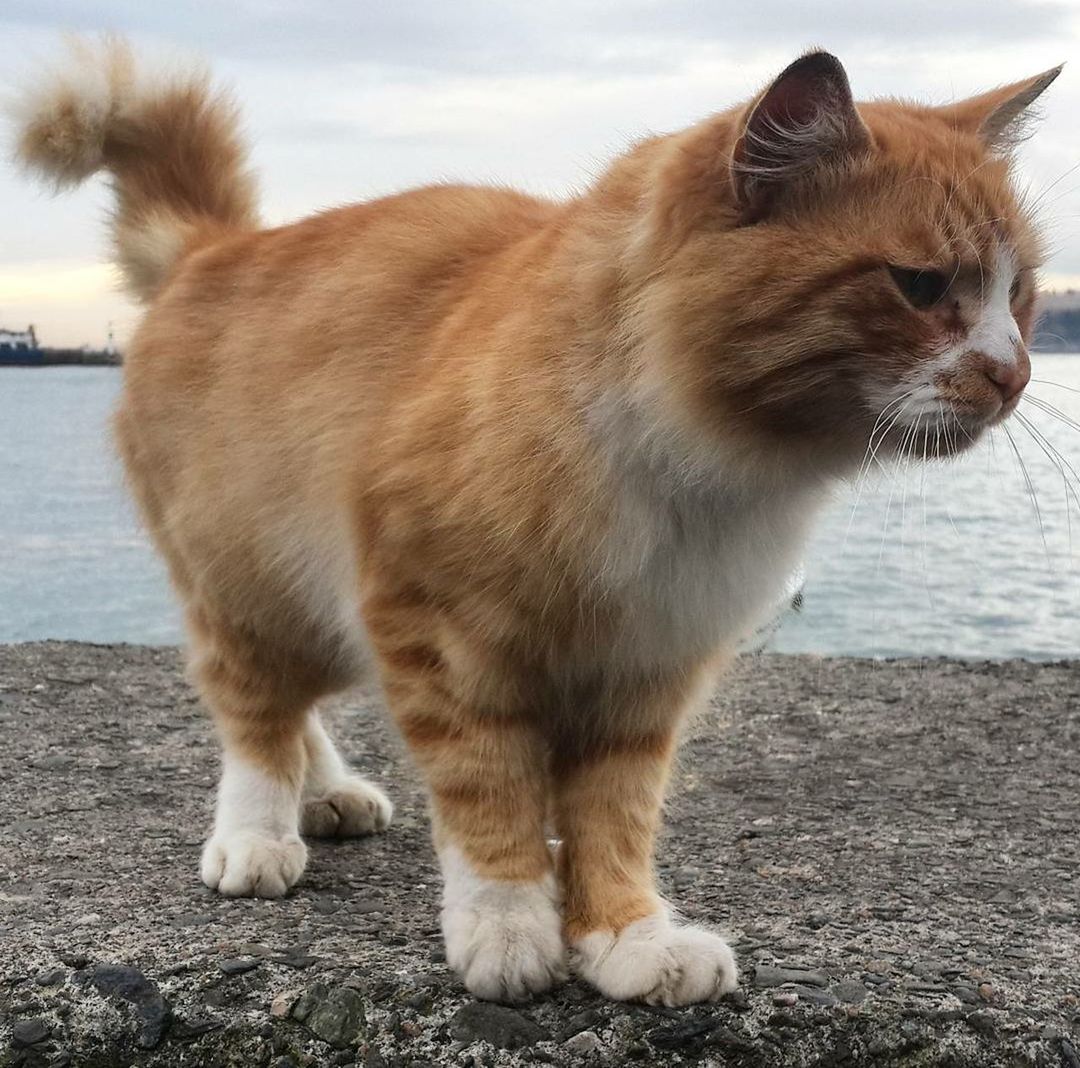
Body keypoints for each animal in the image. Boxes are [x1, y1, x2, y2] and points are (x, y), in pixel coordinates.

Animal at [14, 37, 1062, 1006]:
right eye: (920, 285)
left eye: (1017, 292)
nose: (1015, 374)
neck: (702, 472)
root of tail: (214, 247)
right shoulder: (440, 638)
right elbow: (490, 795)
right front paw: (510, 925)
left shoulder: (645, 671)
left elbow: (614, 820)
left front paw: (625, 936)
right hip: (262, 585)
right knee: (255, 710)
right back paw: (259, 829)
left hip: (326, 610)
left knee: (296, 707)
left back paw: (329, 791)